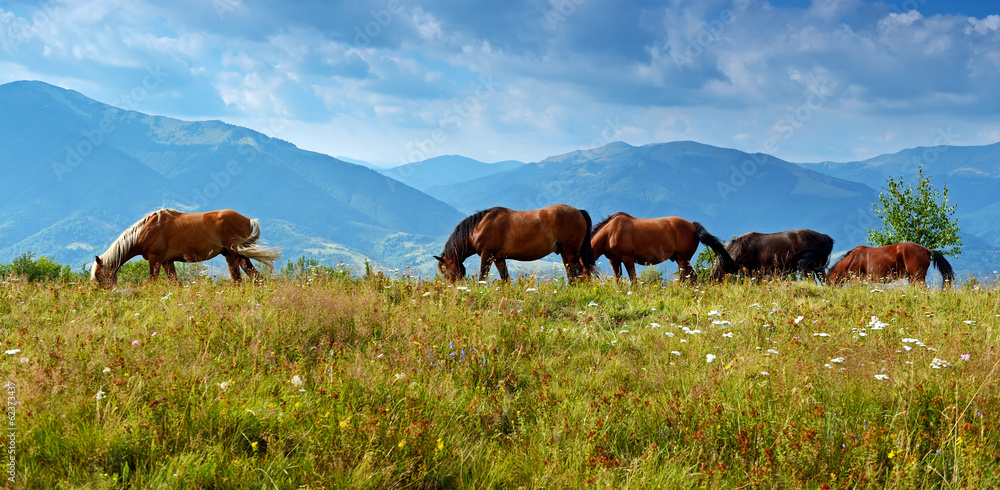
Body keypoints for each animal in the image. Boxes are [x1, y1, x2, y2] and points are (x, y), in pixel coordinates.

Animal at [91, 209, 282, 286]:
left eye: (99, 277)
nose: (104, 295)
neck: (145, 230)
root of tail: (249, 220)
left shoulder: (155, 260)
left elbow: (152, 281)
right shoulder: (167, 262)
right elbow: (175, 283)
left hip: (238, 254)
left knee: (254, 275)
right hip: (229, 255)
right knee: (238, 279)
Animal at [434, 204, 597, 282]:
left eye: (447, 273)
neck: (480, 226)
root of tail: (578, 212)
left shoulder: (486, 256)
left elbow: (482, 278)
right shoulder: (499, 259)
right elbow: (505, 279)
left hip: (571, 251)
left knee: (578, 272)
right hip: (564, 252)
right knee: (571, 274)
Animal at [590, 212, 738, 282]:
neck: (611, 232)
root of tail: (692, 224)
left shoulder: (628, 259)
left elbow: (633, 279)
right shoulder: (614, 260)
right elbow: (618, 279)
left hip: (682, 259)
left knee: (688, 276)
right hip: (681, 260)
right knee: (689, 276)